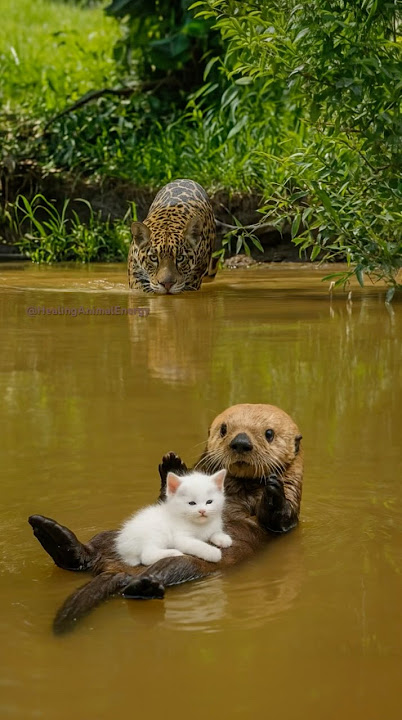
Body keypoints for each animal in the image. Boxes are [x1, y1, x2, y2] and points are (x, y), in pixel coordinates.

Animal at [28, 404, 303, 633]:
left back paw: (143, 586)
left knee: (146, 579)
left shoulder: (288, 505)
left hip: (184, 565)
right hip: (107, 537)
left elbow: (280, 519)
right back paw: (52, 535)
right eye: (224, 429)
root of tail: (113, 568)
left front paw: (273, 488)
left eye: (269, 433)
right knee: (87, 555)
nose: (241, 442)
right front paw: (172, 464)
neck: (240, 487)